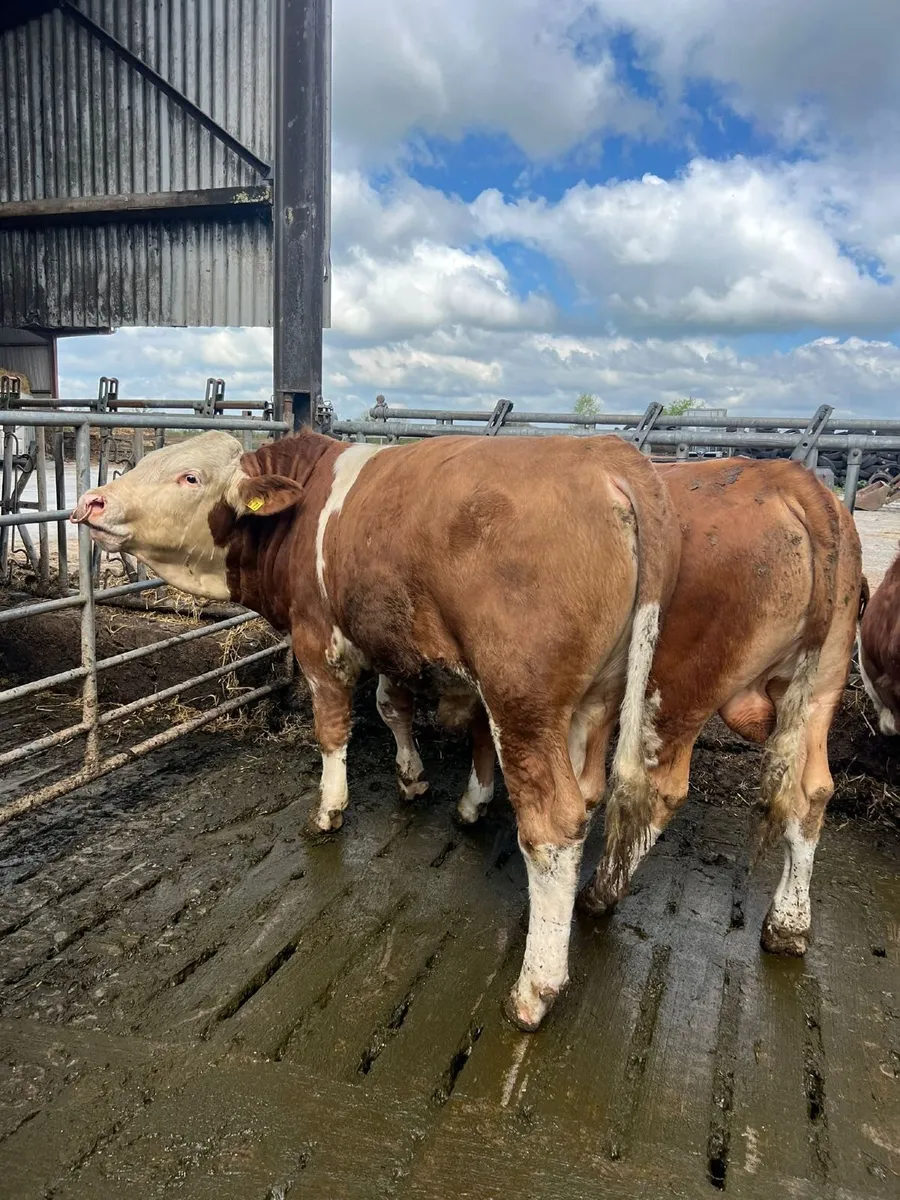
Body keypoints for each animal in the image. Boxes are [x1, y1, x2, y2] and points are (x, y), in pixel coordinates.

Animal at [71, 429, 681, 1031]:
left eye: (189, 476)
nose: (91, 501)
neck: (303, 509)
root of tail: (609, 455)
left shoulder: (319, 642)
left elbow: (332, 730)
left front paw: (329, 810)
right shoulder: (386, 640)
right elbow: (393, 708)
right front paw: (413, 779)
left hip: (523, 700)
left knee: (553, 826)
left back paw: (535, 989)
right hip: (598, 699)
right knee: (593, 793)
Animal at [386, 458, 864, 958]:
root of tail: (785, 477)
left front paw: (465, 803)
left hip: (676, 690)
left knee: (659, 788)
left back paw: (601, 892)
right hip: (820, 686)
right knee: (811, 792)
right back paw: (788, 923)